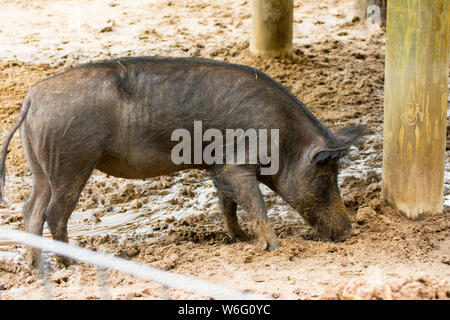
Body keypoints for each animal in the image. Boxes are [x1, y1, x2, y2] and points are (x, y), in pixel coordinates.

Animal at [0, 56, 366, 266]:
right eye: (325, 175)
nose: (349, 232)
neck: (286, 139)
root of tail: (30, 100)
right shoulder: (236, 163)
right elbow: (255, 203)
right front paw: (273, 248)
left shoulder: (218, 166)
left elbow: (229, 204)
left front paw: (240, 239)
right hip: (71, 161)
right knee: (54, 213)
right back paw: (72, 266)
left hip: (42, 168)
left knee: (31, 210)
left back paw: (36, 266)